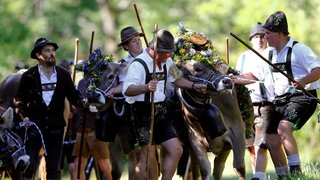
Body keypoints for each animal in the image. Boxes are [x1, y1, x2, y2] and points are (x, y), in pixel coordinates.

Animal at [170, 22, 248, 180]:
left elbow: (239, 166)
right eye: (197, 68)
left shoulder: (238, 130)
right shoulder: (195, 142)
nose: (228, 81)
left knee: (219, 167)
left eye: (219, 64)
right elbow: (205, 170)